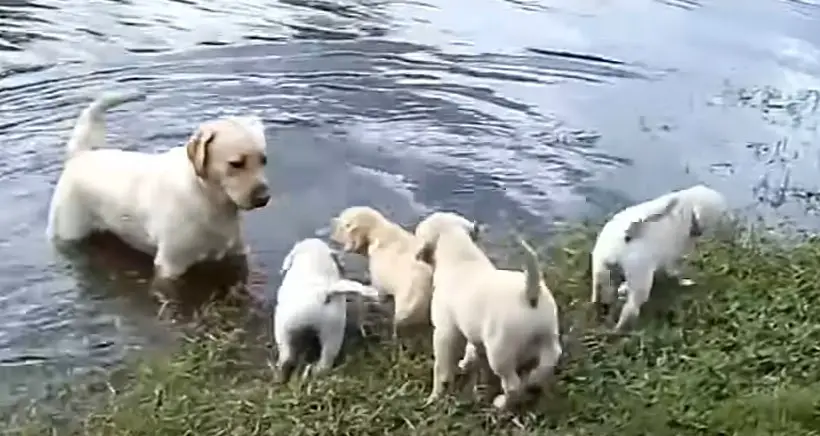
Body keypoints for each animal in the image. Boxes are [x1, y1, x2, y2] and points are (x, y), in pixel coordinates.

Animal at [332, 206, 438, 338]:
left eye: (343, 225)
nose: (332, 233)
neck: (377, 232)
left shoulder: (380, 279)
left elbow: (379, 293)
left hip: (411, 300)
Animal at [416, 213, 564, 410]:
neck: (461, 257)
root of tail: (530, 293)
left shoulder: (444, 333)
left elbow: (441, 368)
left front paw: (435, 396)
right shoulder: (472, 331)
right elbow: (471, 349)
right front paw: (465, 364)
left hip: (500, 351)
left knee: (512, 385)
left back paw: (501, 403)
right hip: (548, 336)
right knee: (549, 362)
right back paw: (533, 379)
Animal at [588, 184, 732, 330]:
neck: (688, 205)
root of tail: (627, 235)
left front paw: (623, 289)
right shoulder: (676, 253)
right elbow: (676, 269)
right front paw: (684, 280)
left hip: (601, 269)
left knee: (598, 294)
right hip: (640, 276)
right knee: (630, 309)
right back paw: (623, 327)